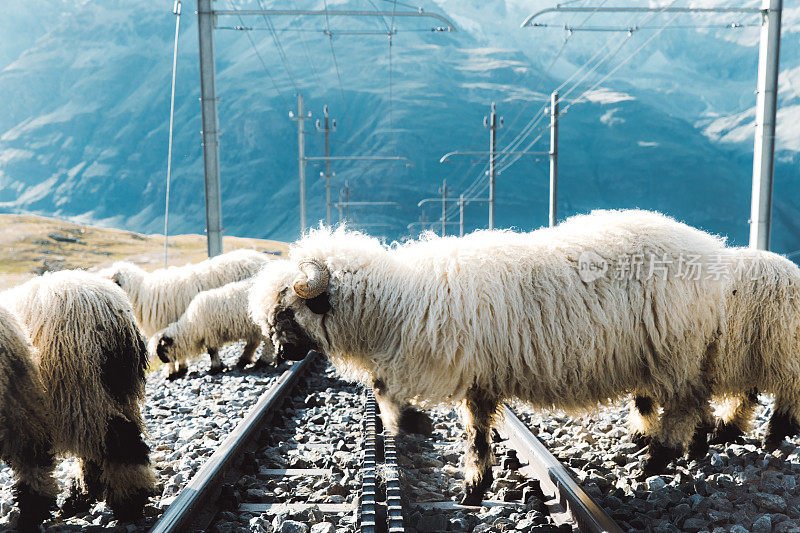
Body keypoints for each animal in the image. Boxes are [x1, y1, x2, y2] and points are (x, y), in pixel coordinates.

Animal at [250, 210, 732, 504]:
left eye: (288, 310)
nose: (282, 353)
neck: (396, 303)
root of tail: (713, 253)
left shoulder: (466, 372)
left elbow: (466, 430)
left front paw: (466, 480)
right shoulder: (478, 378)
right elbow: (474, 430)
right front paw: (474, 483)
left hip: (673, 348)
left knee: (685, 402)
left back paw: (656, 461)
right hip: (676, 353)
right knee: (697, 398)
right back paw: (695, 447)